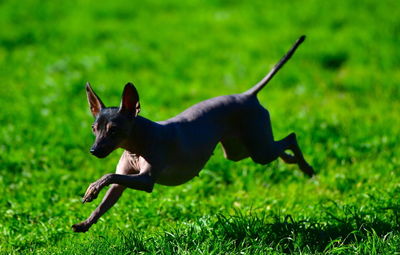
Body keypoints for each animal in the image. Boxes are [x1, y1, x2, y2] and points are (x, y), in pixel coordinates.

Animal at [72, 35, 316, 233]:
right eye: (94, 129)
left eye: (114, 130)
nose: (94, 150)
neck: (136, 147)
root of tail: (247, 95)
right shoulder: (121, 184)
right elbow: (106, 200)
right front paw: (85, 223)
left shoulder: (146, 180)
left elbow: (109, 176)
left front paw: (92, 188)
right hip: (241, 151)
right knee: (277, 146)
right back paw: (291, 160)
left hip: (258, 149)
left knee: (291, 138)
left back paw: (306, 167)